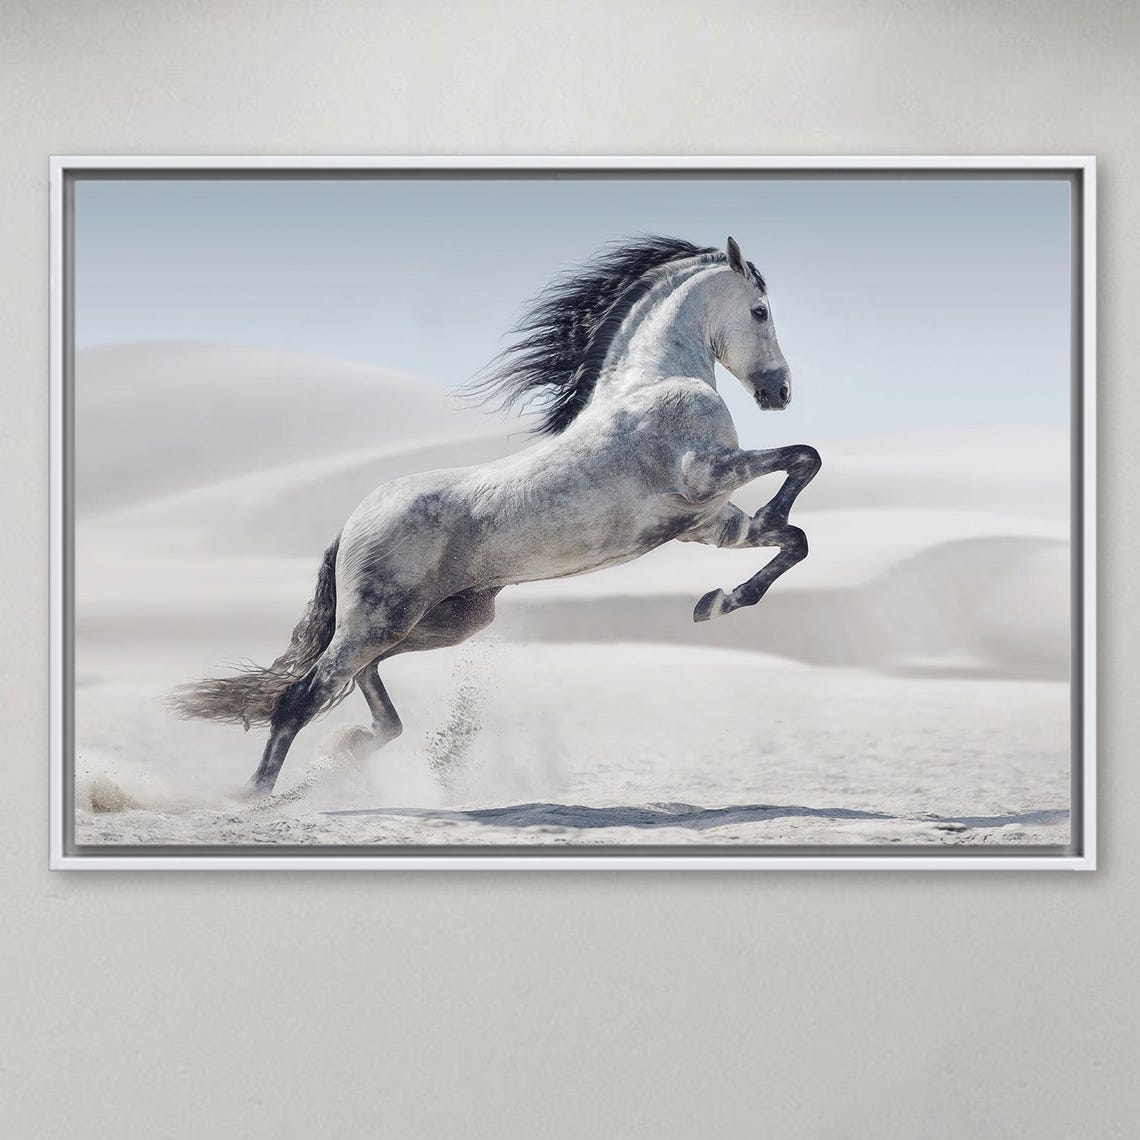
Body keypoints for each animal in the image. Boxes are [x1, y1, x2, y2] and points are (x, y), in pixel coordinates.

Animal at [172, 235, 821, 795]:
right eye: (760, 311)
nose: (780, 392)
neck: (654, 382)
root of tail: (353, 522)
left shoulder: (709, 524)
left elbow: (794, 538)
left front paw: (717, 602)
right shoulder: (705, 474)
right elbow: (804, 458)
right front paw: (736, 571)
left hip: (440, 622)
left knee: (362, 683)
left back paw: (351, 747)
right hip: (380, 620)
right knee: (303, 695)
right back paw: (256, 795)